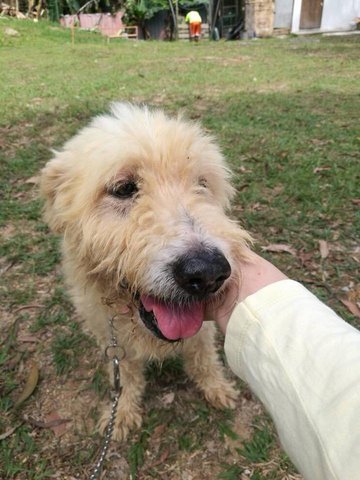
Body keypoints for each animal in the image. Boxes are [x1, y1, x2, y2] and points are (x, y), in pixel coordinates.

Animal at [40, 103, 250, 440]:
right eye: (124, 188)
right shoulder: (114, 342)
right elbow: (125, 377)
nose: (207, 273)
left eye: (202, 184)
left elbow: (204, 359)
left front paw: (216, 388)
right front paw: (123, 411)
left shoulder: (202, 332)